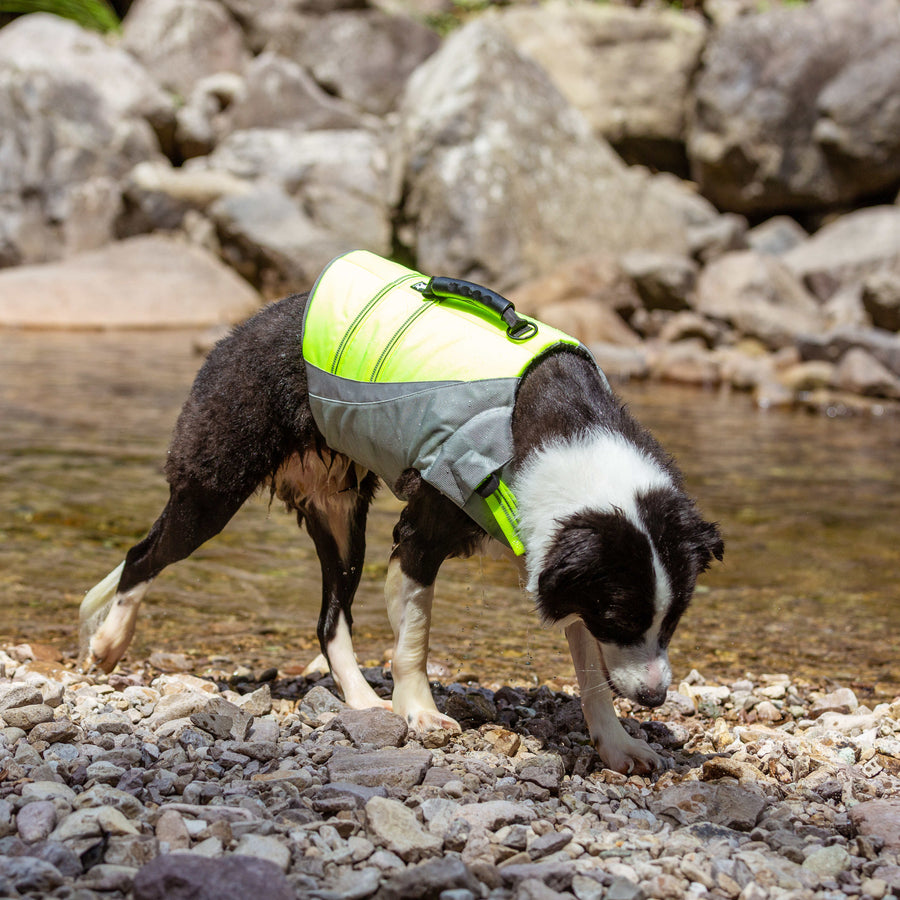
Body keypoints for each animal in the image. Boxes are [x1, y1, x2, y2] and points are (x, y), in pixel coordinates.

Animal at [79, 268, 724, 772]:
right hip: (213, 485)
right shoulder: (420, 538)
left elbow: (591, 672)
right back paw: (110, 642)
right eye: (623, 616)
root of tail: (243, 327)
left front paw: (617, 745)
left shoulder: (561, 566)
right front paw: (420, 712)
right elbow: (414, 640)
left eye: (673, 620)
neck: (561, 431)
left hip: (342, 520)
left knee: (329, 618)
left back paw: (363, 701)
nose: (656, 699)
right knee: (142, 557)